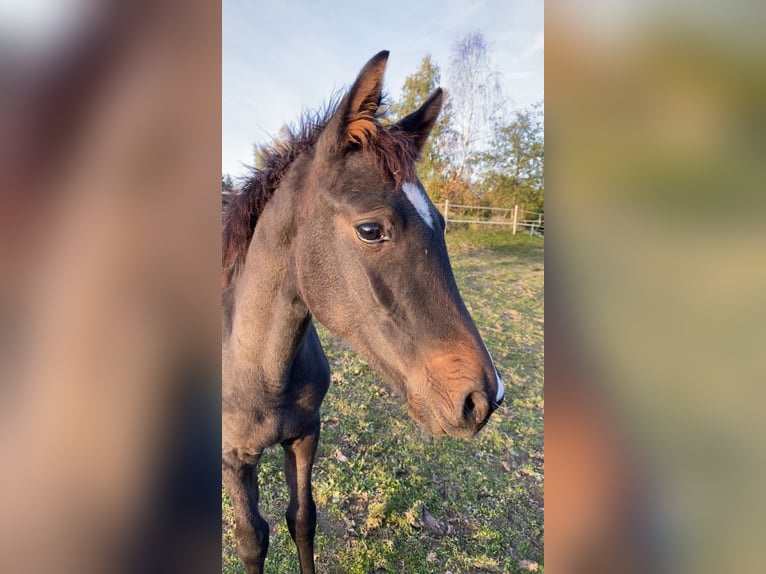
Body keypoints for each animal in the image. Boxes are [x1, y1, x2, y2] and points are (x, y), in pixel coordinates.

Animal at [222, 51, 504, 574]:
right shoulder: (234, 457)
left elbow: (302, 519)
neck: (258, 363)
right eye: (371, 229)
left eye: (442, 223)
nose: (482, 399)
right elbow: (252, 540)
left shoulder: (306, 434)